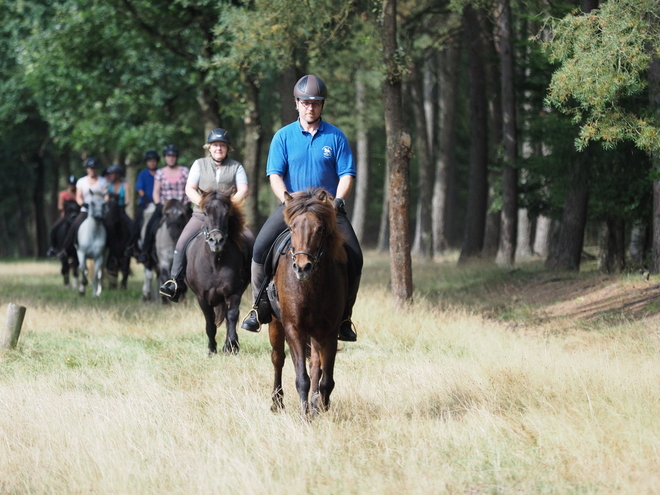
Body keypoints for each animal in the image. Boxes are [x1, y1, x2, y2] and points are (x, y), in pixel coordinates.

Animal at [184, 190, 254, 356]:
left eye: (227, 213)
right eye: (205, 212)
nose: (216, 241)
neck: (216, 262)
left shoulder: (233, 293)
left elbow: (232, 317)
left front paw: (231, 346)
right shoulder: (202, 297)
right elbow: (210, 322)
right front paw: (212, 350)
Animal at [268, 189, 350, 418]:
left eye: (320, 228)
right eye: (291, 227)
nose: (303, 267)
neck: (310, 287)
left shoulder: (329, 332)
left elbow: (325, 378)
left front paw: (321, 408)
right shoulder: (294, 329)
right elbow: (301, 378)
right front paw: (305, 416)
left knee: (315, 364)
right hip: (275, 323)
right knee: (278, 358)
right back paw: (276, 402)